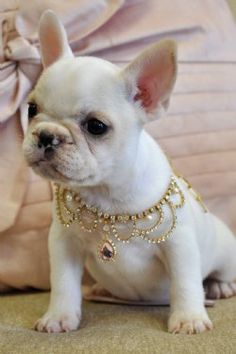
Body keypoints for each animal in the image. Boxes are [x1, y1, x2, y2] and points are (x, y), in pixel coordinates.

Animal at [22, 9, 236, 334]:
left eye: (96, 126)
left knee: (218, 274)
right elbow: (63, 283)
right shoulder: (64, 245)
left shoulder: (180, 245)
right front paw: (59, 316)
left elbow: (185, 283)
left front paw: (188, 317)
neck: (107, 194)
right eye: (31, 109)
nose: (47, 135)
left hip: (226, 252)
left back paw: (218, 286)